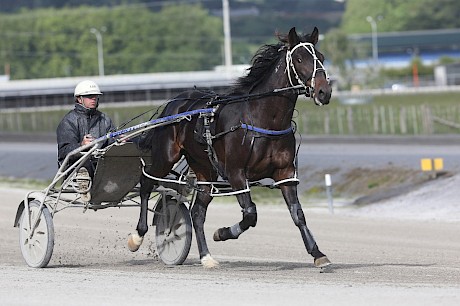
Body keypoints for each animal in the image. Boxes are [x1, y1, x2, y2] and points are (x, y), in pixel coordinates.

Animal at [127, 26, 332, 268]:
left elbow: (297, 213)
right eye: (299, 59)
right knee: (146, 183)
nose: (324, 92)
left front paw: (318, 254)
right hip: (166, 156)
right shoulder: (236, 173)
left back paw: (206, 257)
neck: (263, 118)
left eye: (321, 57)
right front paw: (222, 232)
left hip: (205, 169)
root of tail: (173, 102)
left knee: (197, 212)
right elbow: (250, 214)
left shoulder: (285, 173)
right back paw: (137, 236)